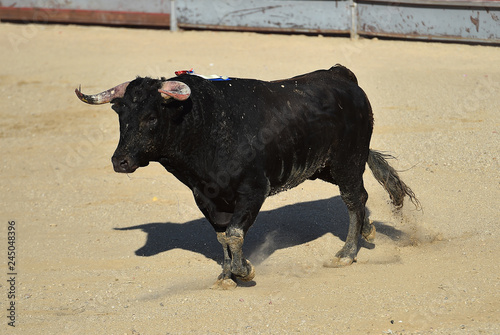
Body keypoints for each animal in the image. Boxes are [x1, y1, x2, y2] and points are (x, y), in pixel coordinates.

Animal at [75, 65, 418, 288]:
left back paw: (346, 254)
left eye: (150, 117)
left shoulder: (253, 192)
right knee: (360, 198)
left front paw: (244, 271)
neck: (205, 126)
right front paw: (226, 277)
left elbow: (235, 234)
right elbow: (222, 237)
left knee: (353, 198)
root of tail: (341, 75)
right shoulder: (206, 198)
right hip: (323, 167)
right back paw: (367, 231)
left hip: (347, 161)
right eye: (121, 115)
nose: (120, 161)